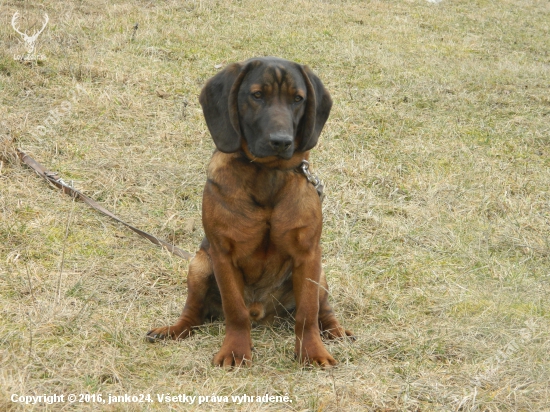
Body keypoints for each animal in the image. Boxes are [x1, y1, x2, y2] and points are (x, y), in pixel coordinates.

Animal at [147, 55, 354, 366]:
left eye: (297, 98)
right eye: (257, 95)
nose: (281, 141)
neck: (267, 176)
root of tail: (263, 313)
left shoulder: (308, 255)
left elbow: (307, 313)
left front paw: (312, 352)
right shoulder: (222, 254)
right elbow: (235, 311)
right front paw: (235, 351)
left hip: (321, 276)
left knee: (323, 310)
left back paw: (335, 330)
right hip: (199, 264)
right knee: (192, 314)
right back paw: (173, 330)